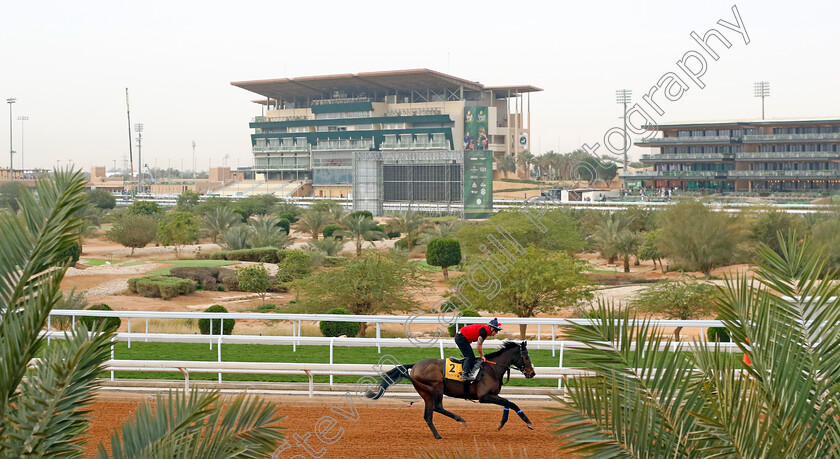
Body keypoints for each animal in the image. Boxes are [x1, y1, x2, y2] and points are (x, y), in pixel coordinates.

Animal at [366, 344, 540, 440]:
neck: (492, 368)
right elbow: (508, 402)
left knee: (428, 415)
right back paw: (460, 419)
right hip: (436, 387)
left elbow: (510, 403)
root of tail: (414, 365)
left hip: (426, 393)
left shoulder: (491, 396)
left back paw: (438, 435)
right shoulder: (484, 396)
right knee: (438, 407)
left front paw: (525, 422)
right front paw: (505, 424)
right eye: (526, 357)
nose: (532, 373)